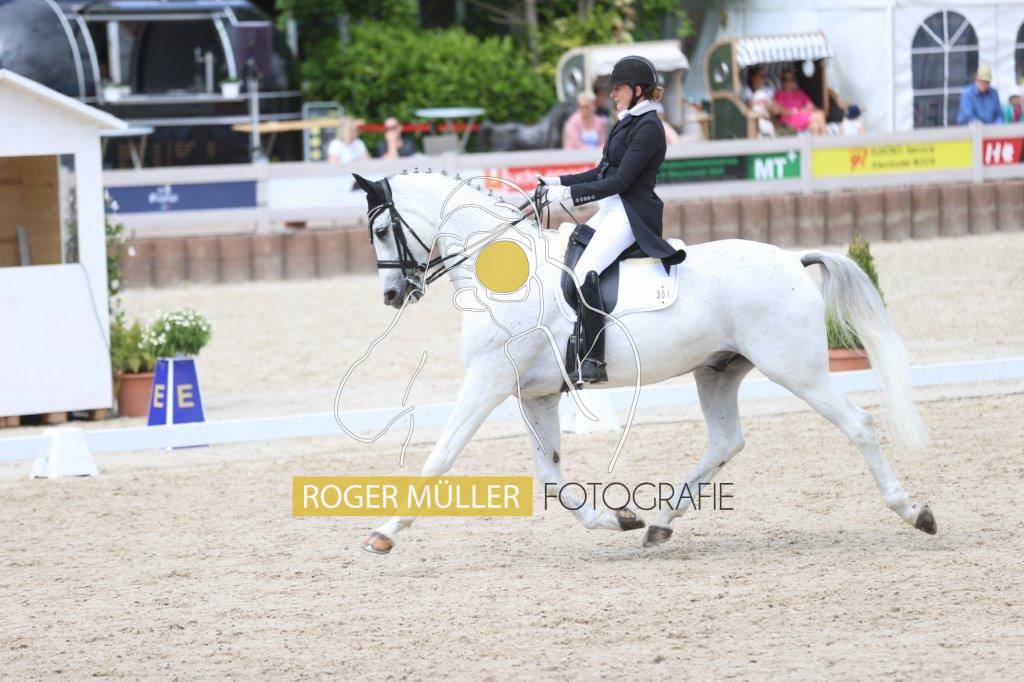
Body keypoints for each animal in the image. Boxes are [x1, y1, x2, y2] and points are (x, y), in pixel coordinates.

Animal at [350, 170, 936, 555]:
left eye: (380, 231)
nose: (392, 295)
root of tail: (794, 259)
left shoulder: (487, 380)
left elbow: (440, 456)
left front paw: (384, 532)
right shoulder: (534, 394)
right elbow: (551, 477)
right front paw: (617, 519)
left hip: (797, 369)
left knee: (857, 424)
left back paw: (915, 512)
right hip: (718, 370)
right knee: (725, 442)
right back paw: (659, 523)